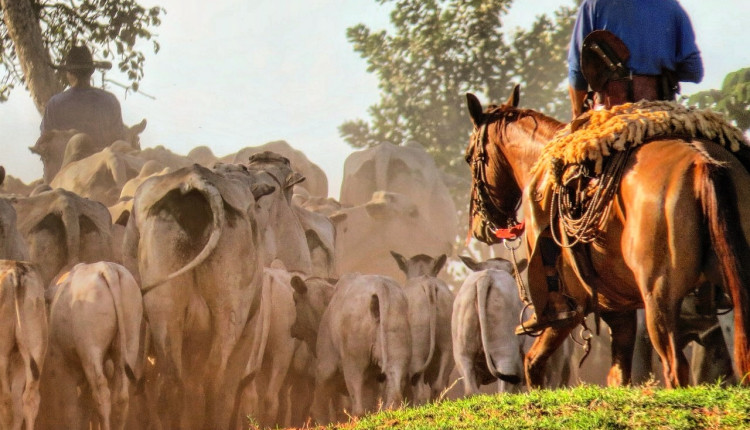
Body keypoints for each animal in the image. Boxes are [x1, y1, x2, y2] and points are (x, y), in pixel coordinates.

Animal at [39, 260, 143, 430]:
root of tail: (107, 268)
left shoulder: (60, 365)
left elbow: (70, 410)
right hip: (129, 341)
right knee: (121, 396)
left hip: (90, 349)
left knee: (102, 394)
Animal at [464, 85, 750, 388]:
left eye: (469, 157)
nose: (480, 226)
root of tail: (704, 162)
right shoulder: (619, 309)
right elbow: (618, 375)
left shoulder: (572, 307)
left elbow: (533, 363)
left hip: (658, 299)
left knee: (675, 367)